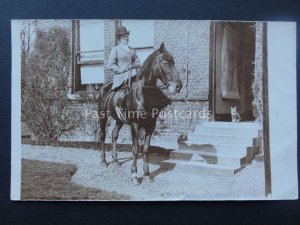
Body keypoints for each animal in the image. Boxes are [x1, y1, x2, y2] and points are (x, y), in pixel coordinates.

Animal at [97, 42, 182, 185]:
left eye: (173, 61)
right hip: (102, 116)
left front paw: (147, 174)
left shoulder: (151, 125)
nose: (178, 86)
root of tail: (103, 87)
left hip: (119, 120)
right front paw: (134, 175)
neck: (143, 93)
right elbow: (135, 149)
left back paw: (115, 161)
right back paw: (103, 161)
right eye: (164, 61)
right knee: (103, 136)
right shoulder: (135, 124)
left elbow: (146, 149)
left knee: (114, 135)